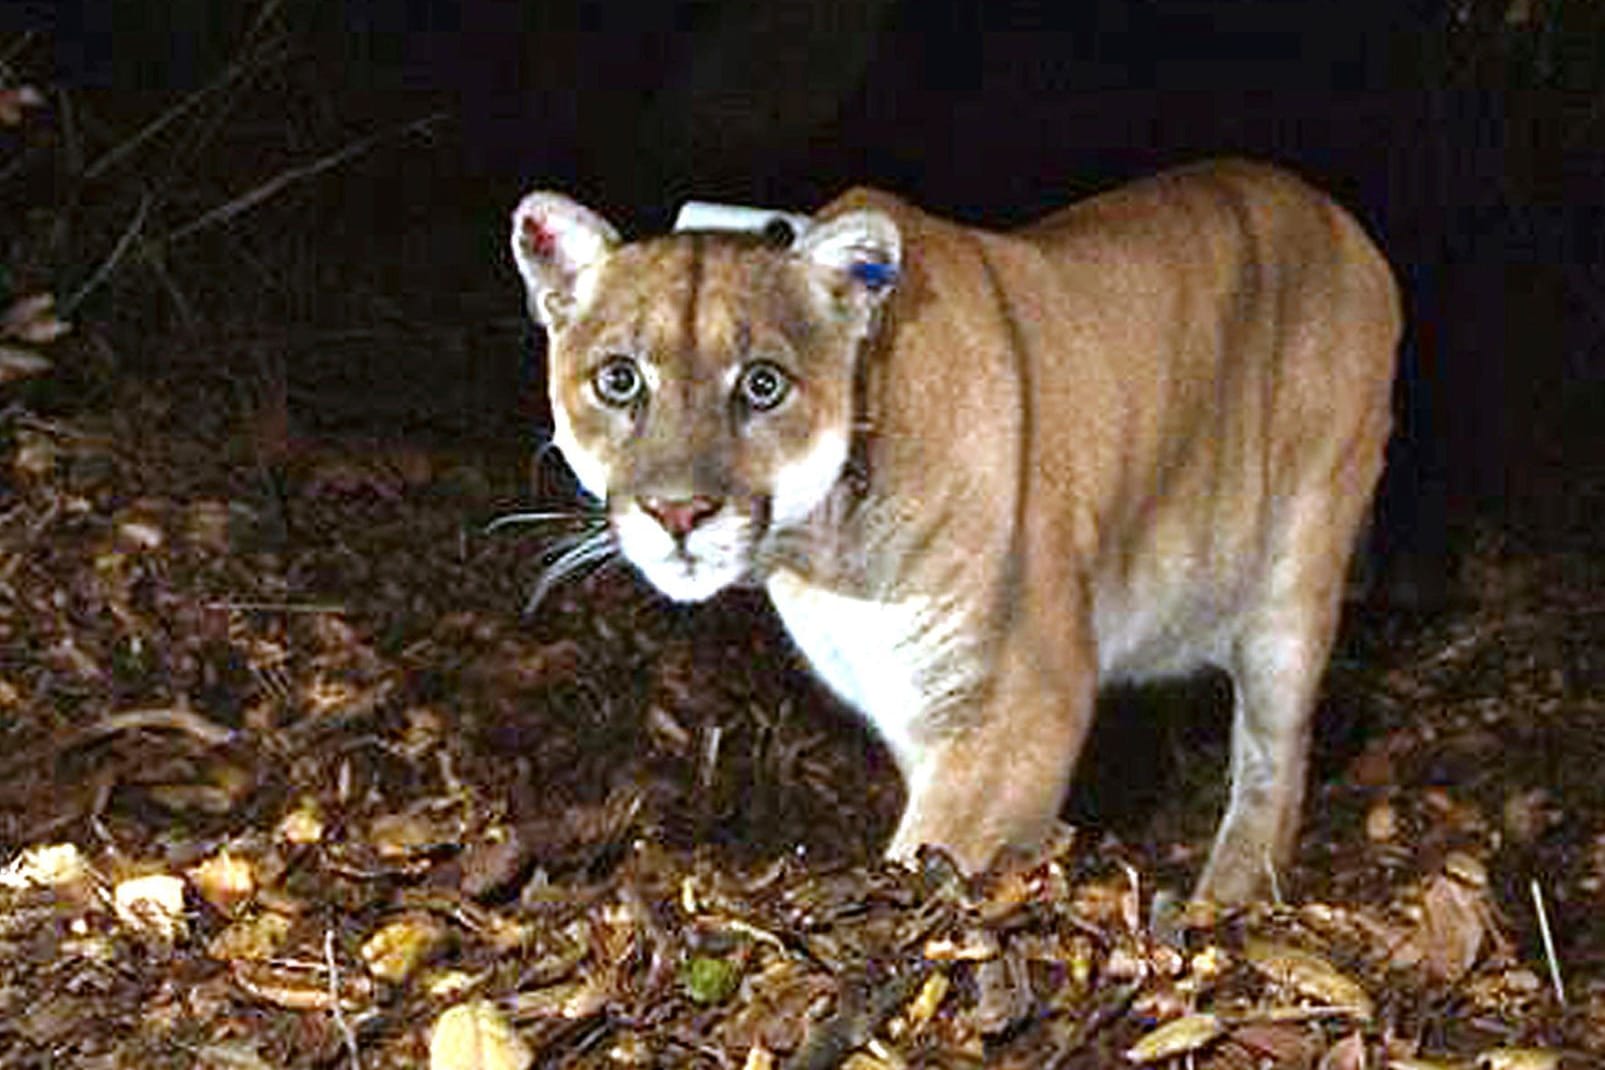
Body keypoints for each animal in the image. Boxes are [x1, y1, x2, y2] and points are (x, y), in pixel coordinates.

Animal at [510, 161, 1393, 904]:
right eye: (618, 379)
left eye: (762, 385)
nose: (679, 513)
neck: (825, 555)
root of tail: (1334, 213)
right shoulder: (913, 704)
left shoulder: (1019, 705)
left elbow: (934, 853)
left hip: (1296, 574)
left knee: (1275, 759)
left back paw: (1228, 895)